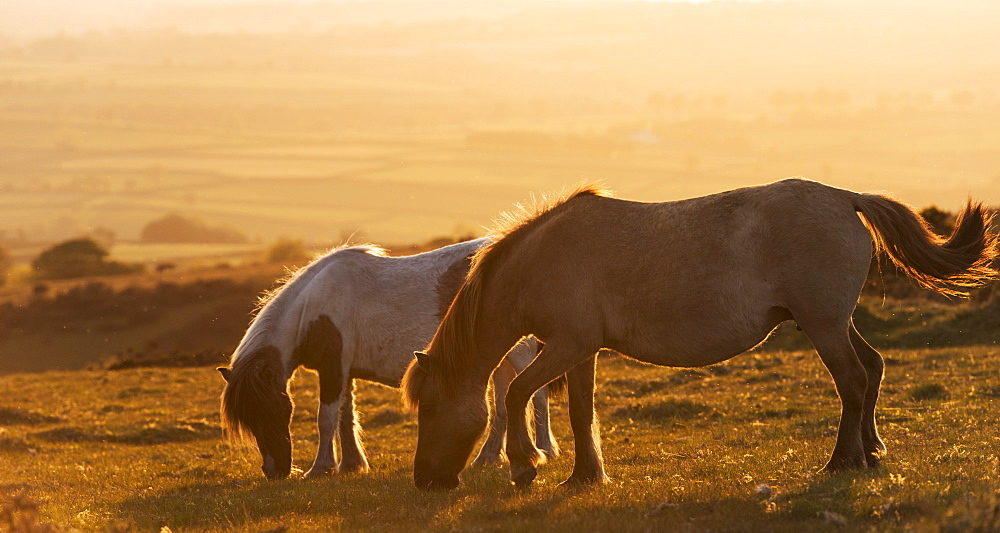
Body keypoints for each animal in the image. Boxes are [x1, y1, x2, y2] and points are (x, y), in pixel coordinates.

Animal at [220, 237, 560, 478]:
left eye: (273, 411)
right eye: (248, 419)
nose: (274, 471)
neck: (312, 312)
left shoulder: (332, 369)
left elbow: (326, 419)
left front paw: (320, 468)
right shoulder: (345, 371)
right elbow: (345, 417)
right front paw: (351, 464)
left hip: (519, 353)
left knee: (537, 395)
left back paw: (545, 449)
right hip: (498, 358)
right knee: (503, 404)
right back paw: (487, 457)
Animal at [402, 180, 996, 490]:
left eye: (428, 408)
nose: (426, 480)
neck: (542, 258)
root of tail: (844, 197)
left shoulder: (566, 346)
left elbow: (519, 393)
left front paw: (526, 466)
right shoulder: (580, 350)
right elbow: (578, 410)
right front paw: (585, 476)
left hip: (824, 327)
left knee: (851, 382)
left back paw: (842, 462)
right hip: (834, 323)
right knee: (871, 369)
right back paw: (872, 452)